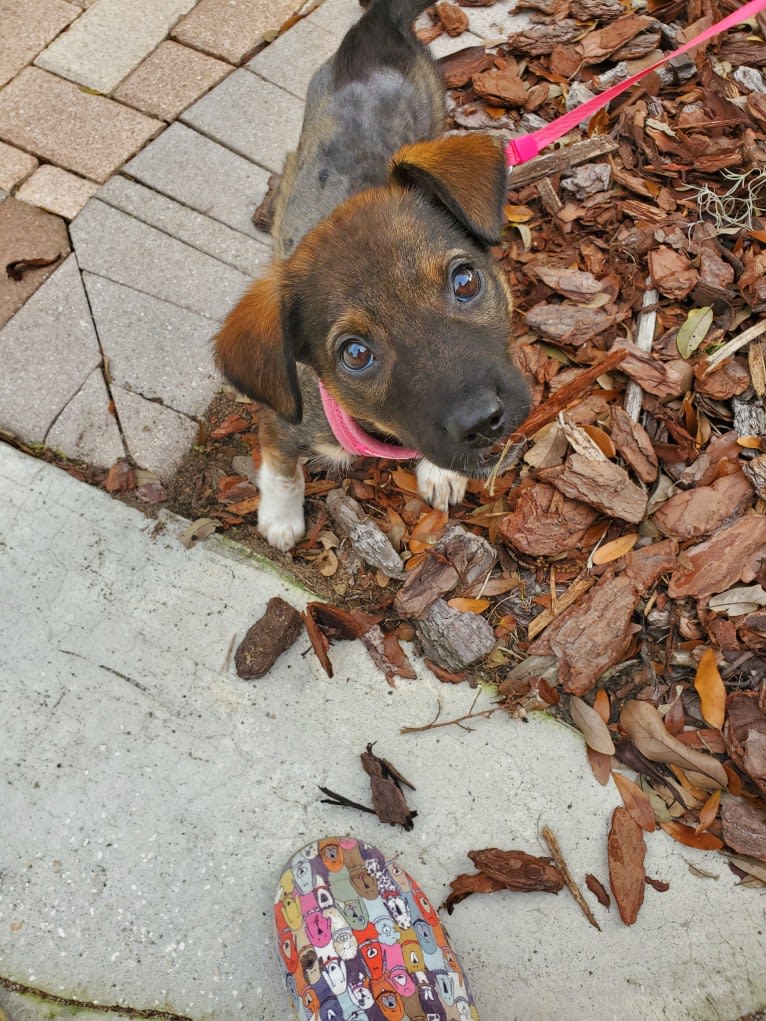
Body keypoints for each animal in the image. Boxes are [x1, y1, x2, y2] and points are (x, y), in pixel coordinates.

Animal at [213, 0, 531, 551]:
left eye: (465, 282)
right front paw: (279, 517)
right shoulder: (280, 421)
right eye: (356, 355)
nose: (484, 422)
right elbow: (280, 468)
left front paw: (439, 472)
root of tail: (379, 24)